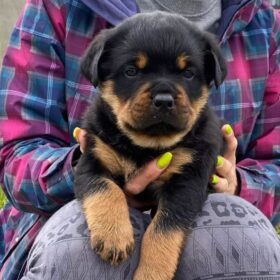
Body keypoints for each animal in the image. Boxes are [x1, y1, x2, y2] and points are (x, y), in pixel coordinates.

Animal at [75, 11, 228, 280]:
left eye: (188, 73)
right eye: (131, 71)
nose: (164, 99)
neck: (146, 146)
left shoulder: (187, 181)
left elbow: (163, 231)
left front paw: (151, 272)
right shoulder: (92, 158)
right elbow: (105, 188)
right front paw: (113, 235)